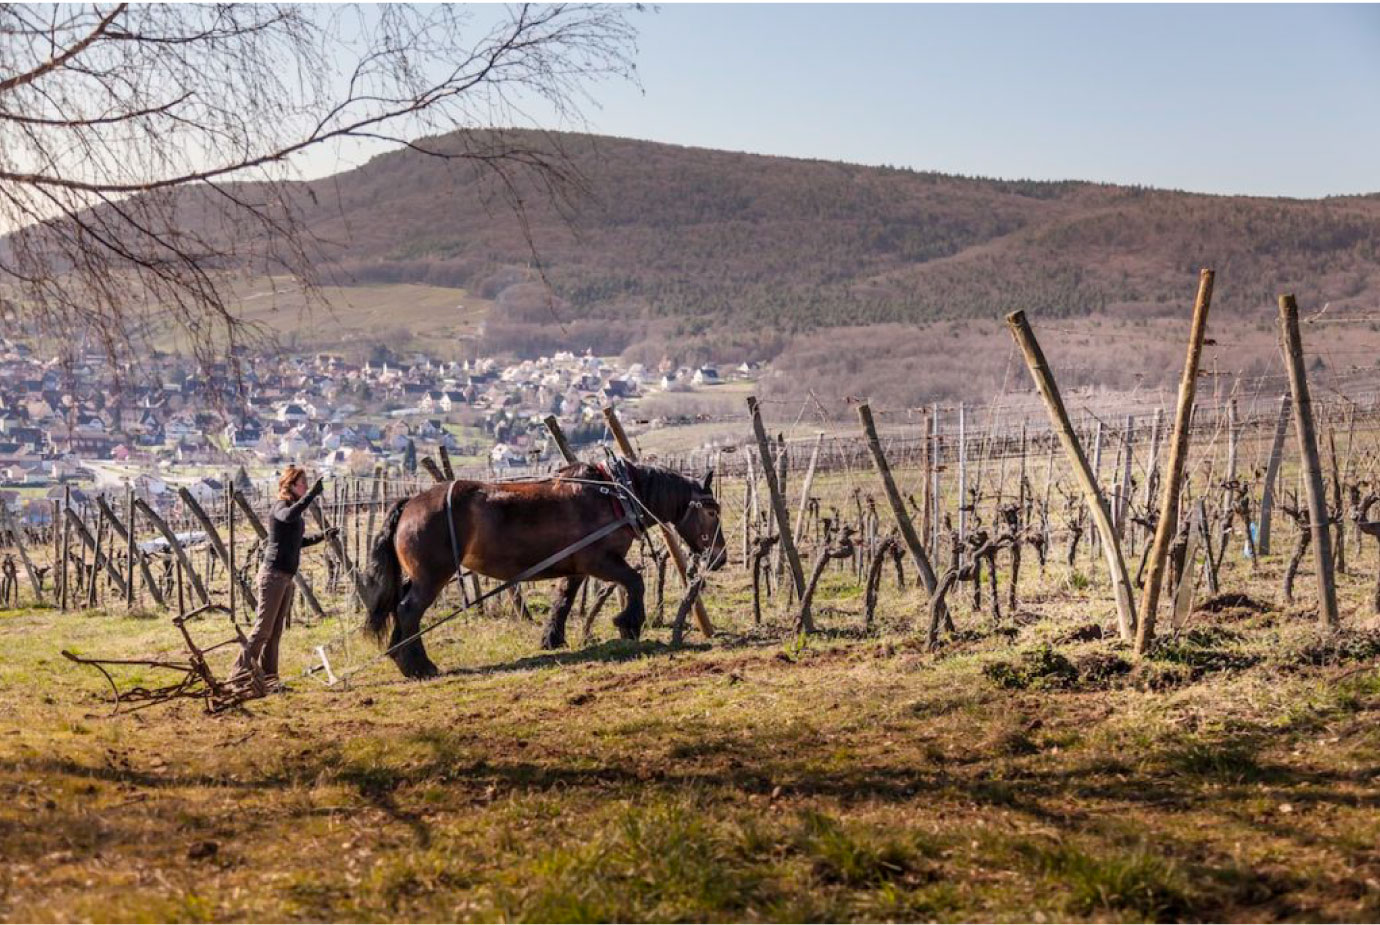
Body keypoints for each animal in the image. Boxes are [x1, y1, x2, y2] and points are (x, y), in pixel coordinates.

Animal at [356, 461, 728, 682]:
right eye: (711, 511)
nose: (719, 557)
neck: (615, 496)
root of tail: (409, 504)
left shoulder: (576, 565)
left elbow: (564, 598)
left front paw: (552, 637)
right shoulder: (600, 561)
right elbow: (635, 582)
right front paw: (629, 624)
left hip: (418, 577)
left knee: (400, 610)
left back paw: (399, 656)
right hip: (432, 576)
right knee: (408, 611)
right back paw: (418, 665)